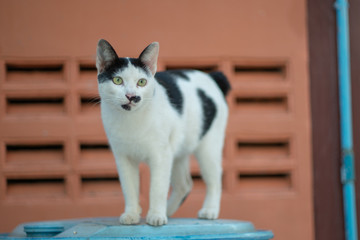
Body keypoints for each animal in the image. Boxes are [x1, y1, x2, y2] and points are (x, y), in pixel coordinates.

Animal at [95, 39, 231, 227]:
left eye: (142, 82)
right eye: (117, 80)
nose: (132, 96)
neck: (131, 120)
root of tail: (212, 77)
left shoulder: (160, 155)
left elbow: (157, 187)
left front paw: (156, 215)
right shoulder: (123, 158)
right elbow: (129, 187)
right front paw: (131, 213)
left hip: (208, 146)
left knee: (215, 179)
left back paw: (209, 210)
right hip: (177, 152)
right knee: (184, 184)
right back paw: (169, 210)